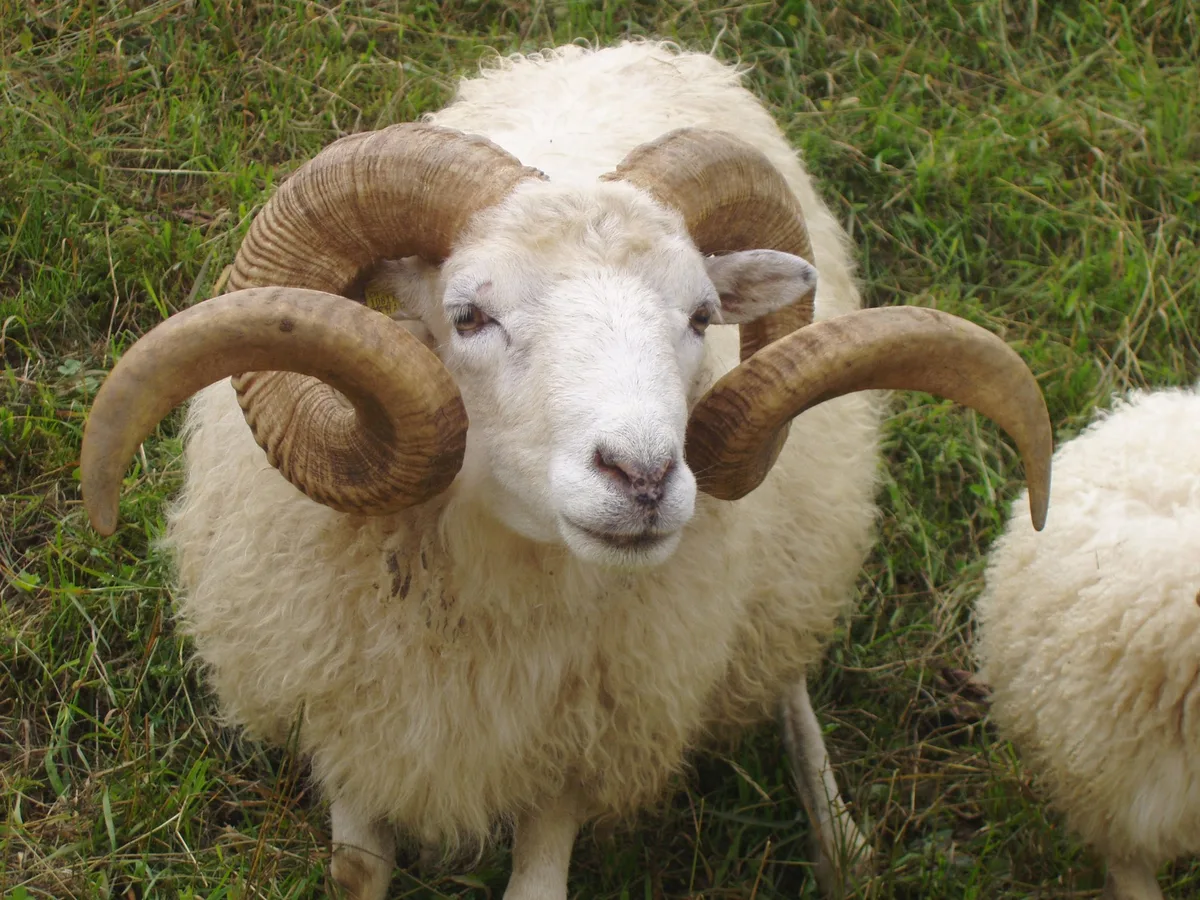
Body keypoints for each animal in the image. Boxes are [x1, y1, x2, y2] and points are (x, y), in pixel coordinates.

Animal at [79, 40, 1053, 900]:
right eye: (468, 316)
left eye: (701, 315)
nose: (644, 475)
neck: (498, 591)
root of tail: (633, 46)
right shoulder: (353, 722)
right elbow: (357, 873)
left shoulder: (578, 750)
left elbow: (538, 882)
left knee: (785, 678)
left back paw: (840, 845)